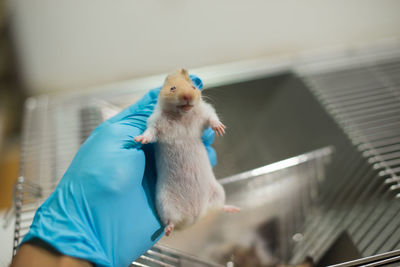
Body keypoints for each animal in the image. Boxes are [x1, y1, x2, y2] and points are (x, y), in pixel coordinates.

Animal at [136, 69, 239, 237]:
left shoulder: (205, 112)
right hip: (165, 204)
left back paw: (234, 209)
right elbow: (150, 132)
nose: (188, 97)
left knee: (218, 207)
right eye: (172, 88)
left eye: (193, 87)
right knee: (171, 221)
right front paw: (138, 139)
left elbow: (212, 117)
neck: (181, 116)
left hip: (218, 192)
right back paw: (167, 231)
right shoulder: (155, 122)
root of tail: (194, 218)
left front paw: (220, 129)